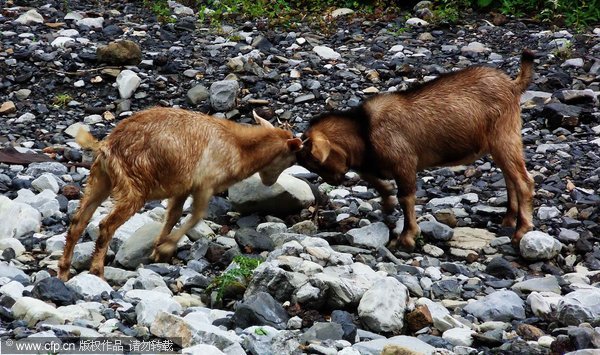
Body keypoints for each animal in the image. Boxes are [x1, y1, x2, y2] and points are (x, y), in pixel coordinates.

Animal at [58, 108, 302, 280]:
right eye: (292, 159)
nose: (269, 182)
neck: (238, 147)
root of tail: (107, 146)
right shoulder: (204, 184)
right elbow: (197, 215)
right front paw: (166, 248)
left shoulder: (182, 188)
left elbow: (173, 215)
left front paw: (158, 249)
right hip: (133, 186)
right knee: (106, 225)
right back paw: (97, 272)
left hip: (100, 180)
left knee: (78, 222)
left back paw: (63, 271)